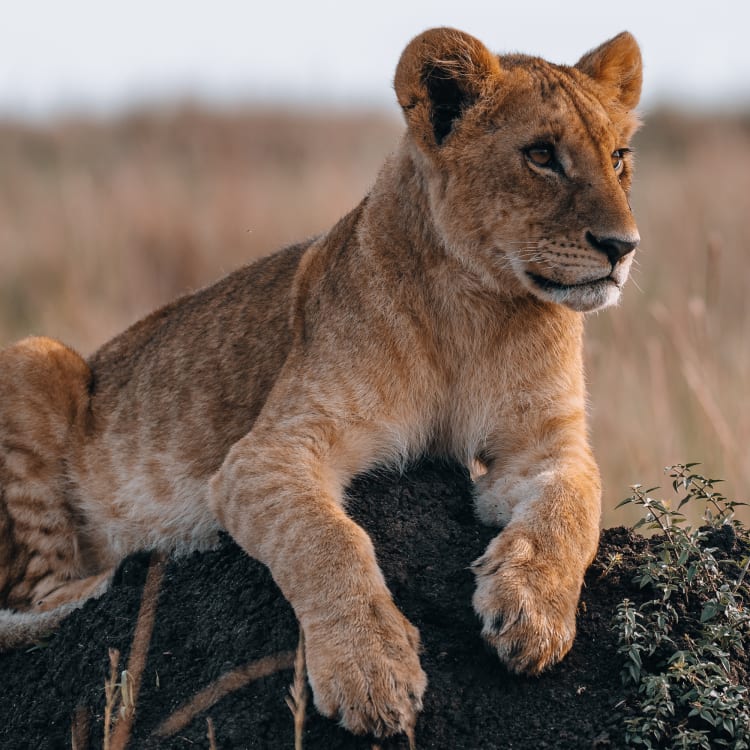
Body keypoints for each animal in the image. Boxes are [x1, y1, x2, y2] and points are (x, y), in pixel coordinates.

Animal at [0, 28, 642, 737]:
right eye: (541, 155)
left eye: (619, 157)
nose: (623, 246)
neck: (478, 308)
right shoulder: (266, 453)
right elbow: (327, 540)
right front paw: (371, 669)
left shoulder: (546, 446)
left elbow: (571, 508)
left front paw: (532, 611)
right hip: (32, 355)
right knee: (36, 599)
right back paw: (128, 568)